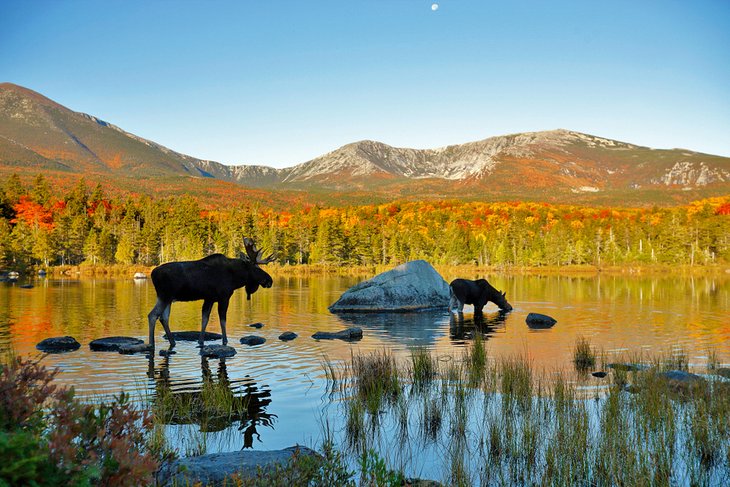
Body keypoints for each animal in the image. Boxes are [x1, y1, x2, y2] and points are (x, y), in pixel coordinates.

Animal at [146, 238, 274, 348]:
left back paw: (172, 342)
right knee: (152, 315)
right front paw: (225, 341)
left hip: (168, 298)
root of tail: (152, 274)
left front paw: (201, 341)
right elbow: (222, 321)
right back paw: (151, 343)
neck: (235, 279)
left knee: (164, 317)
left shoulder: (210, 298)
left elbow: (205, 319)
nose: (270, 280)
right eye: (256, 268)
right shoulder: (224, 297)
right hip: (164, 296)